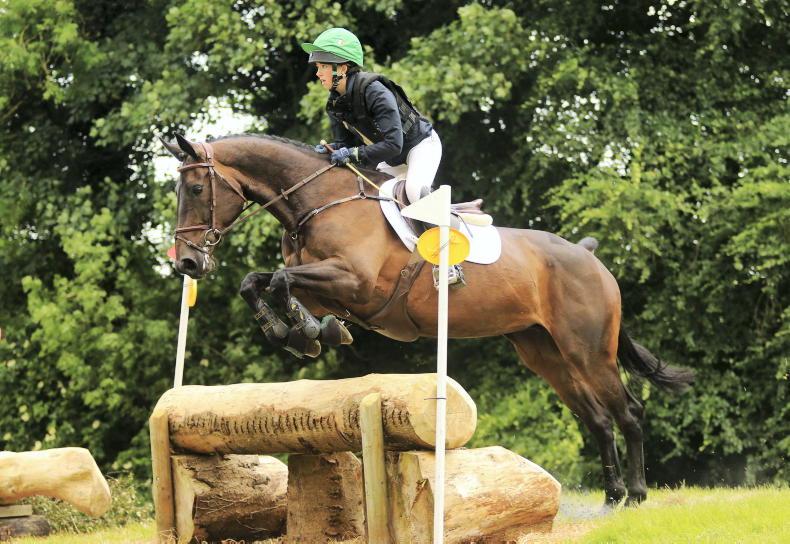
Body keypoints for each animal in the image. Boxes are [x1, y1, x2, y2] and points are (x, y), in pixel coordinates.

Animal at [162, 132, 693, 507]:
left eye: (196, 188)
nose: (186, 263)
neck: (317, 204)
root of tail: (592, 260)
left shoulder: (354, 282)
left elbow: (277, 280)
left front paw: (305, 332)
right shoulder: (328, 287)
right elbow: (261, 282)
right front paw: (304, 332)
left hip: (588, 350)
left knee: (628, 411)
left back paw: (637, 496)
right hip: (545, 354)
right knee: (599, 418)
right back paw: (612, 497)